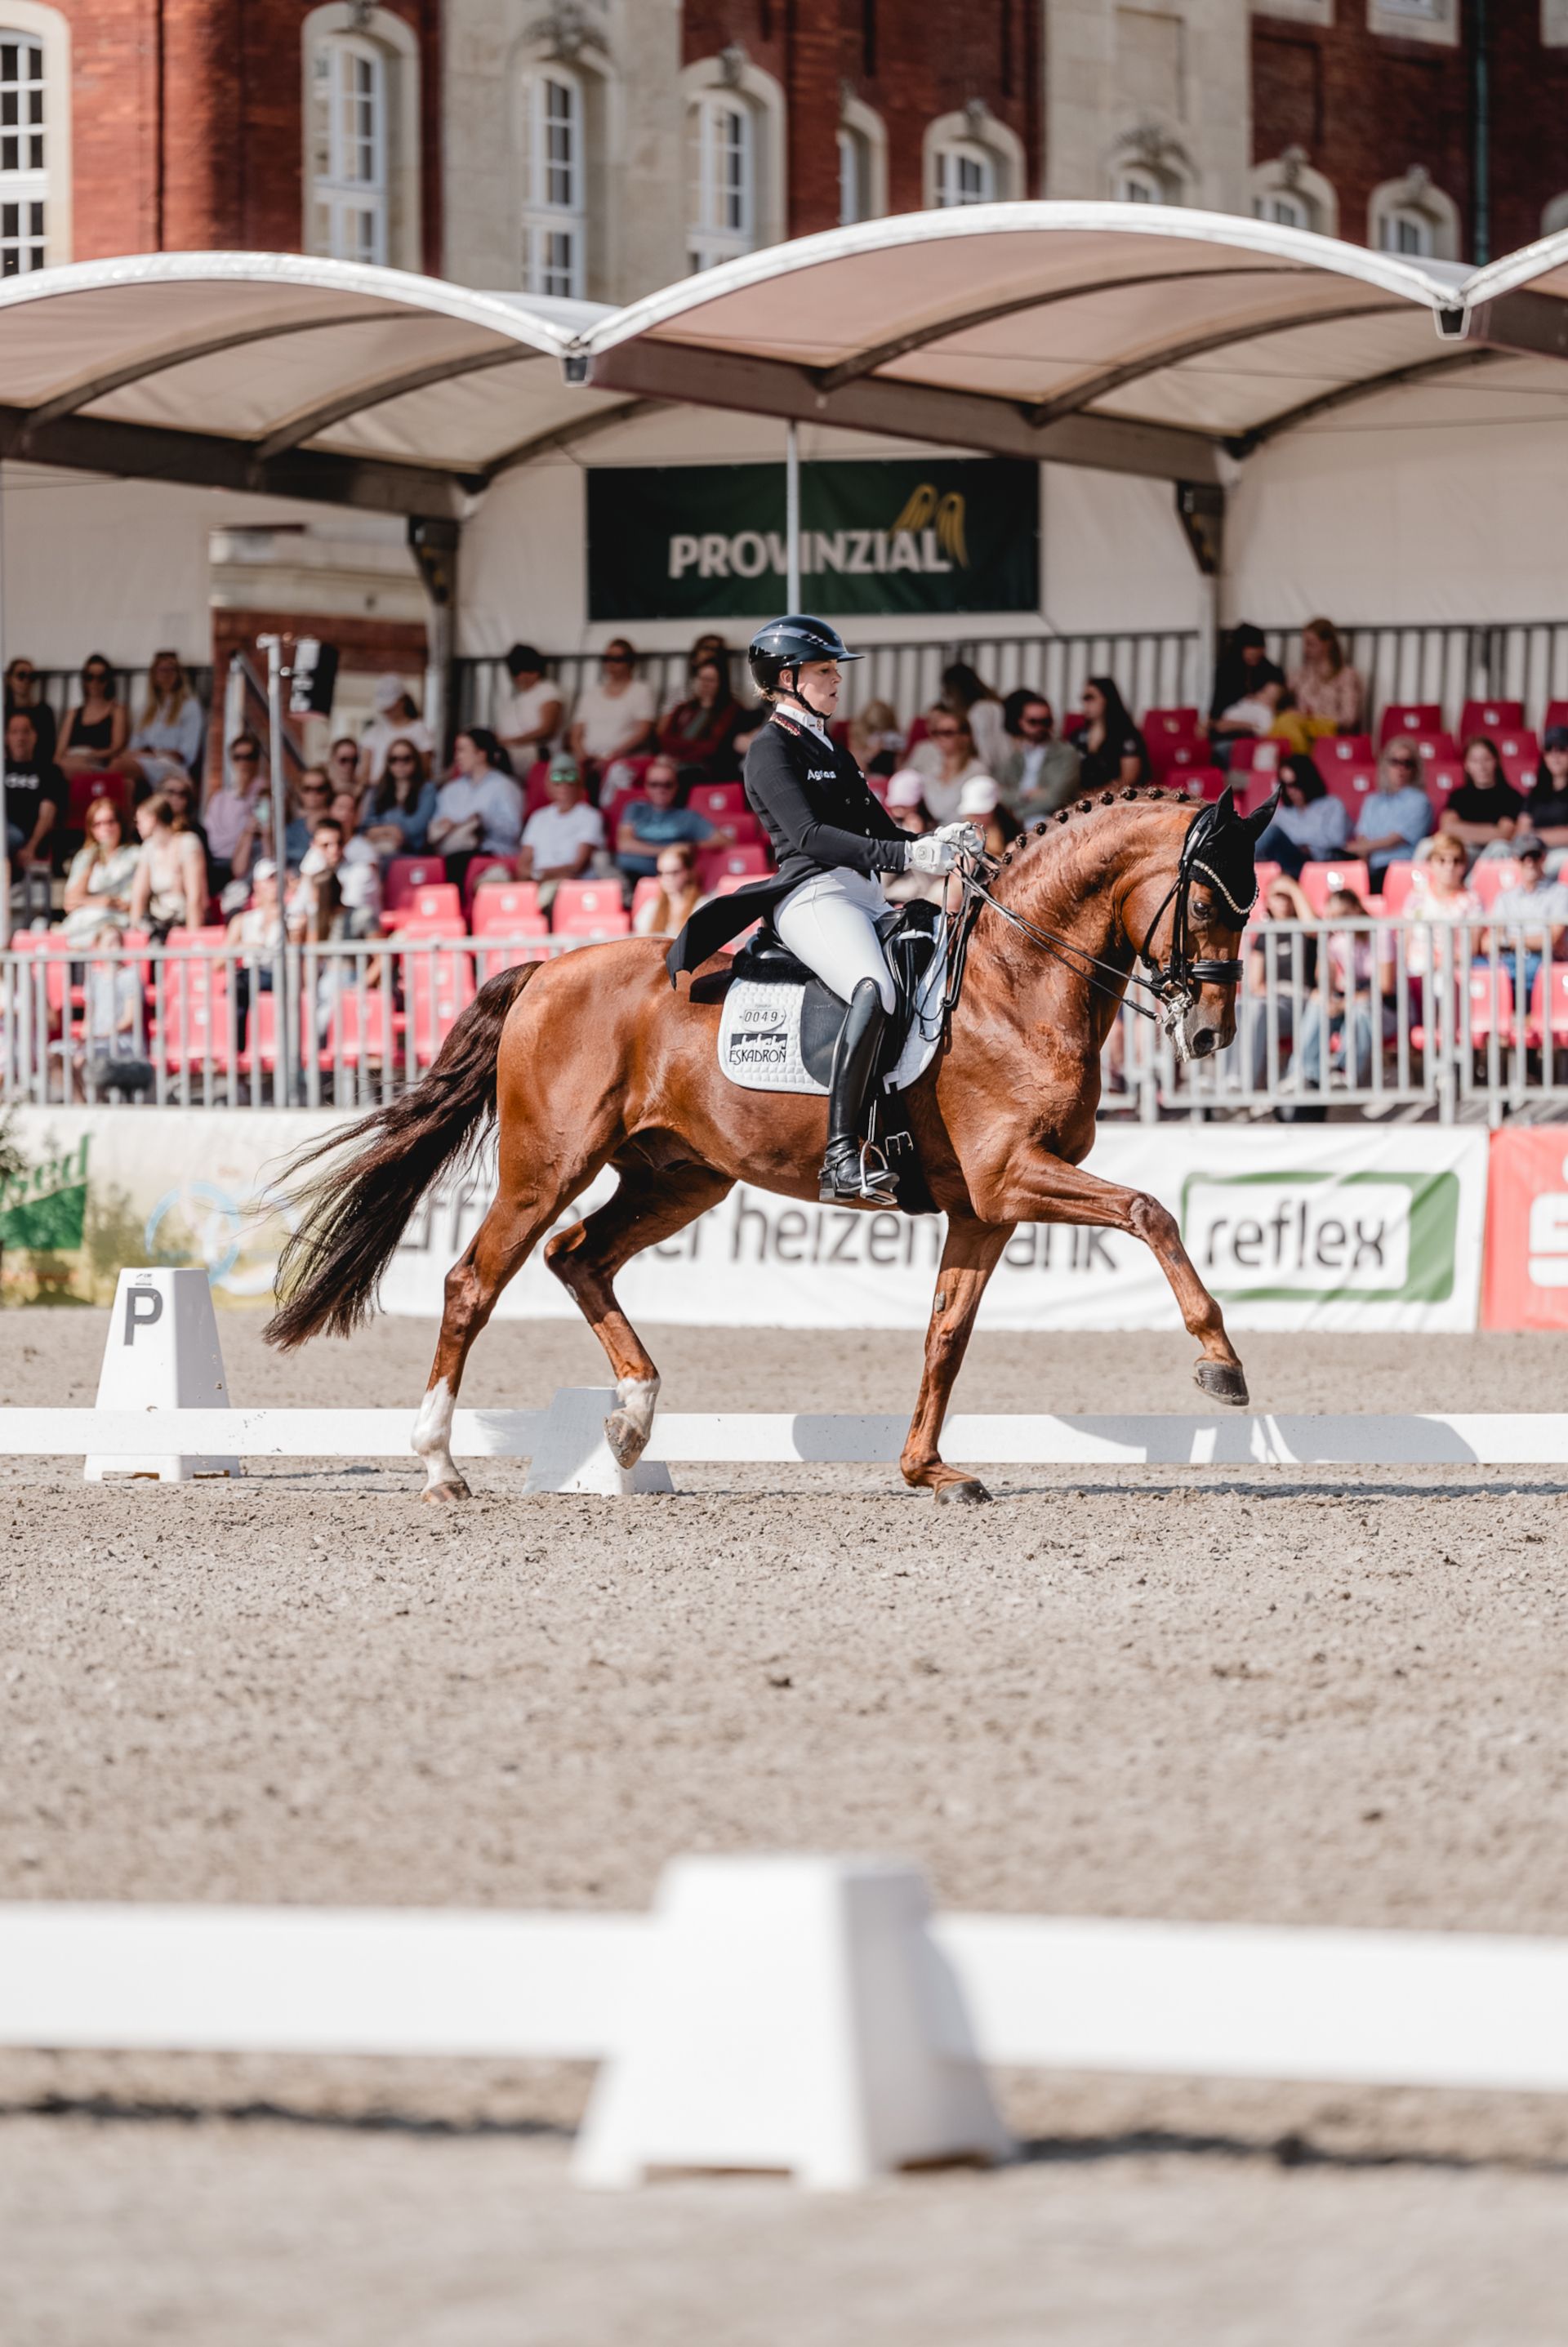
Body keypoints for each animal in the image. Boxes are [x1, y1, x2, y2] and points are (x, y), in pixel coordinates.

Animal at [266, 779, 1276, 1492]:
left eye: (1252, 907)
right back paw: (441, 1464)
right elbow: (1150, 1212)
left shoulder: (985, 1208)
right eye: (1205, 905)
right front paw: (1221, 1364)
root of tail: (547, 969)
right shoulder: (1010, 1177)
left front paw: (927, 1471)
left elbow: (946, 1334)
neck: (1016, 985)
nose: (1211, 1035)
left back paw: (631, 1421)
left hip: (681, 1176)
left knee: (577, 1257)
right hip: (547, 1165)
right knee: (475, 1280)